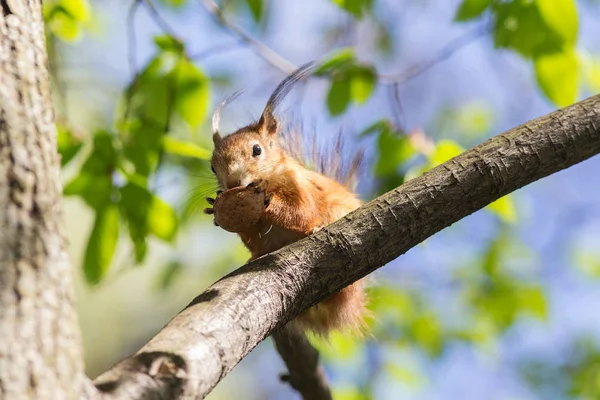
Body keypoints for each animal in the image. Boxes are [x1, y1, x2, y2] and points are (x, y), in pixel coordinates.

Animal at [204, 63, 368, 338]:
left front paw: (268, 201)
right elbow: (251, 235)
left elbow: (303, 210)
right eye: (212, 167)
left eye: (257, 150)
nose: (233, 183)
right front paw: (214, 212)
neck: (269, 179)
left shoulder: (300, 184)